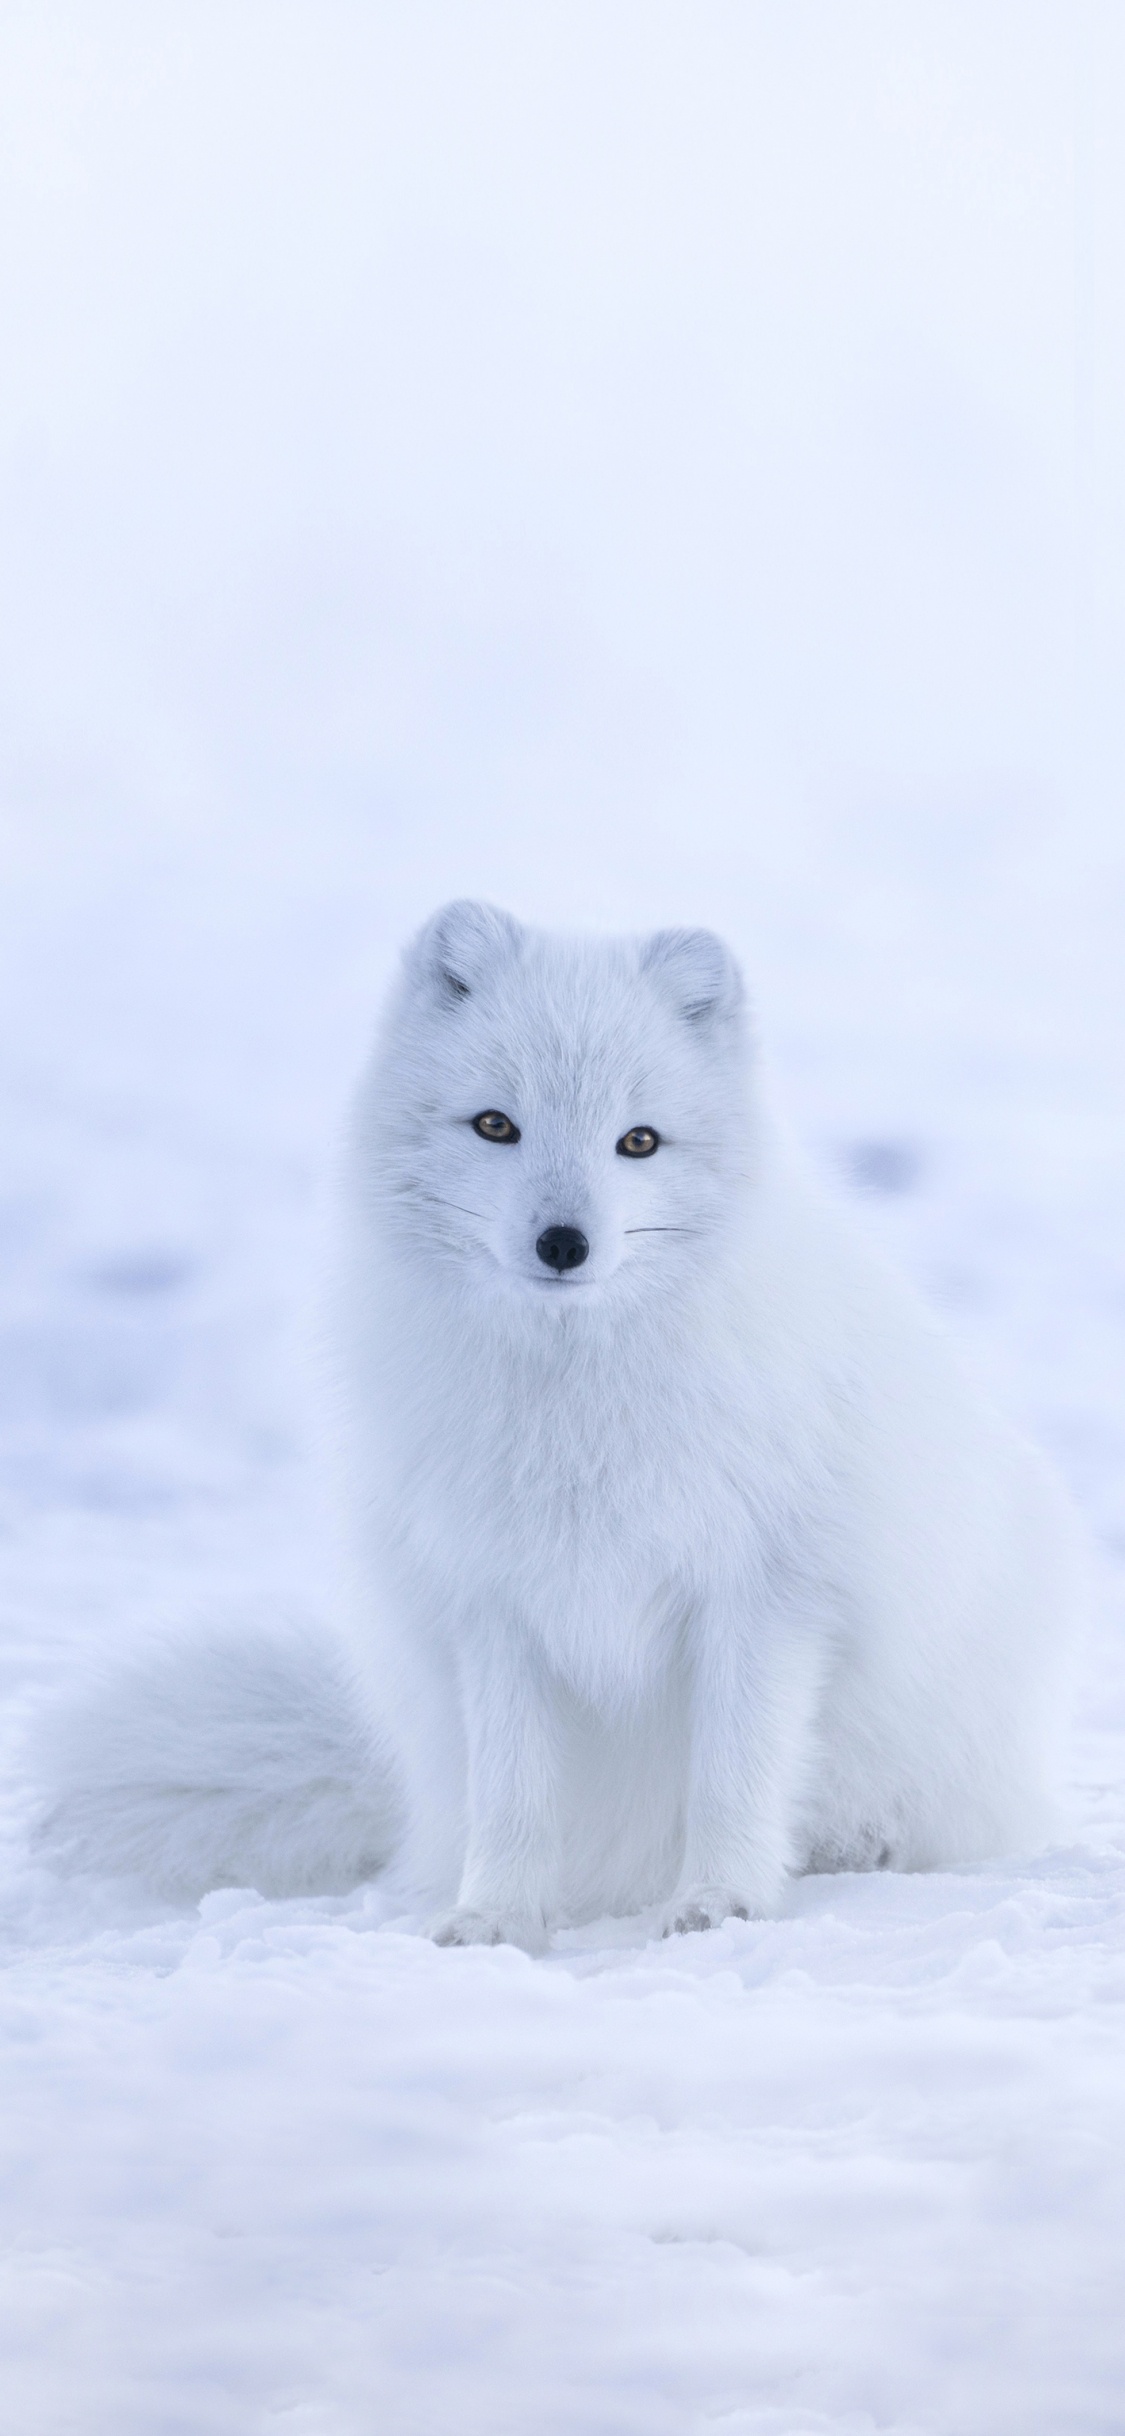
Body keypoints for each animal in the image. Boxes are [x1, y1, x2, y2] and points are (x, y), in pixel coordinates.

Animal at [34, 901, 1079, 1946]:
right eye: (496, 1125)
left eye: (639, 1142)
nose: (564, 1244)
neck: (575, 1404)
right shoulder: (493, 1603)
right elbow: (513, 1794)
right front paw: (494, 1917)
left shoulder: (764, 1594)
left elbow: (732, 1775)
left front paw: (719, 1901)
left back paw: (855, 1846)